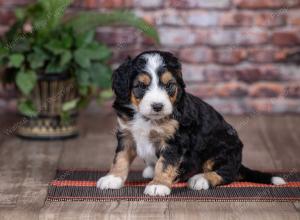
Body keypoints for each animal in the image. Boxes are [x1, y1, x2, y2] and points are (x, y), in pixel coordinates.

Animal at [96, 51, 286, 196]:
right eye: (141, 86)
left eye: (169, 85)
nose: (158, 106)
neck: (147, 117)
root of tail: (239, 161)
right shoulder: (126, 133)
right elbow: (120, 158)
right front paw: (113, 178)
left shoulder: (175, 140)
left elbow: (165, 163)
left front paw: (158, 184)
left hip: (223, 148)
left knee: (227, 173)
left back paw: (200, 179)